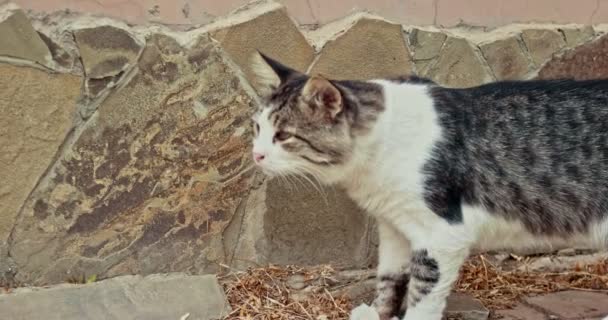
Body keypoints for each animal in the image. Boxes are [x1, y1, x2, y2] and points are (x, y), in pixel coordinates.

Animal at [247, 52, 608, 320]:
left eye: (284, 136)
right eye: (257, 128)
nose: (256, 154)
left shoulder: (442, 236)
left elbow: (422, 297)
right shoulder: (393, 227)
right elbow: (388, 280)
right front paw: (379, 312)